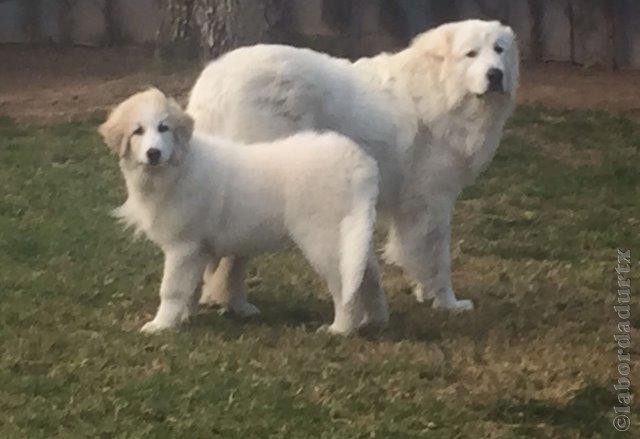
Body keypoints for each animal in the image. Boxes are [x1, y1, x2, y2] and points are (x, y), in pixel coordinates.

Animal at [98, 90, 388, 336]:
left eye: (163, 128)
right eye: (138, 131)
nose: (154, 153)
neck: (177, 167)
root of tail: (357, 162)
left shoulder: (183, 247)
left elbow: (171, 289)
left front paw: (161, 325)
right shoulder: (198, 250)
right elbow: (191, 288)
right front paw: (185, 317)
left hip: (323, 239)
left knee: (344, 287)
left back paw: (341, 328)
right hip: (352, 236)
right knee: (368, 275)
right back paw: (373, 320)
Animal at [188, 19, 516, 316]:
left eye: (499, 50)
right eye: (471, 54)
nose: (495, 74)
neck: (441, 87)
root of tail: (213, 82)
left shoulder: (411, 206)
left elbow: (414, 251)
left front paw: (425, 293)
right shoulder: (431, 199)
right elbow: (437, 257)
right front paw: (448, 303)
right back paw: (233, 302)